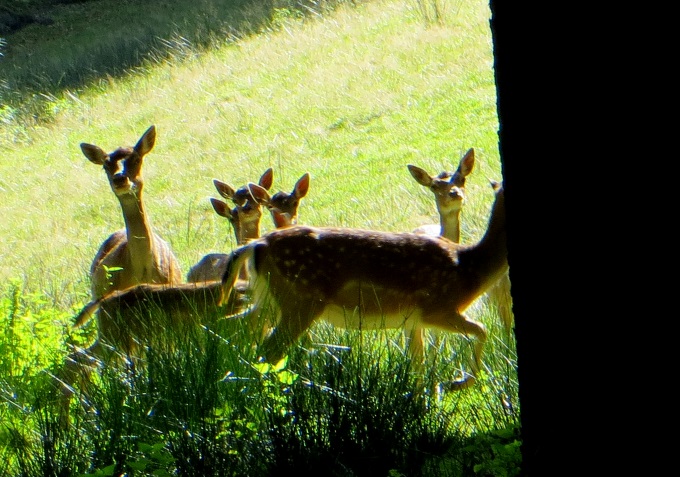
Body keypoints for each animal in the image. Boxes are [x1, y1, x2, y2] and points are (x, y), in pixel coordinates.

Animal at [220, 180, 508, 388]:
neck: (470, 269)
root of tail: (256, 245)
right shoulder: (437, 307)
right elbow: (482, 330)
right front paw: (459, 382)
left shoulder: (413, 320)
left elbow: (418, 367)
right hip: (300, 300)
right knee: (267, 351)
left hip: (269, 300)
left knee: (247, 334)